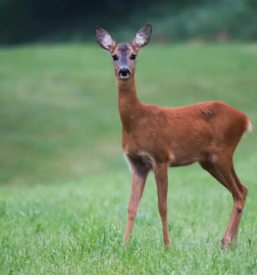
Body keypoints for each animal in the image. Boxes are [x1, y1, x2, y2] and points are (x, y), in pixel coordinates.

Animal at [94, 23, 250, 250]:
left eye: (133, 55)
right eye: (114, 56)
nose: (124, 71)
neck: (137, 122)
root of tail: (245, 119)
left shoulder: (160, 157)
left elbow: (162, 205)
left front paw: (167, 246)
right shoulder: (137, 164)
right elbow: (132, 206)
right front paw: (124, 245)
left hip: (222, 152)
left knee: (239, 191)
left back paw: (227, 242)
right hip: (208, 161)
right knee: (240, 190)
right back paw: (229, 243)